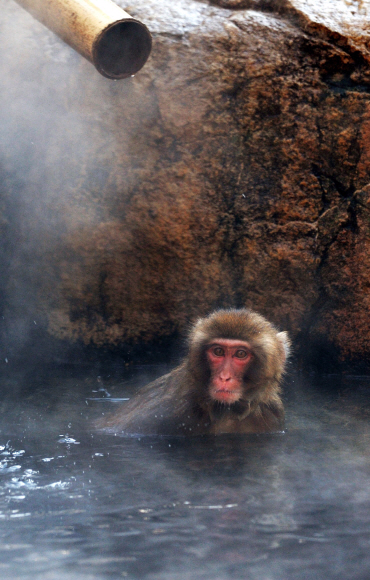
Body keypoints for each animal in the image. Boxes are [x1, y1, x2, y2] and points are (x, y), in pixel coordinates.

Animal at [97, 308, 290, 436]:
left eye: (241, 354)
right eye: (218, 351)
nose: (224, 377)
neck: (226, 411)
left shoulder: (273, 412)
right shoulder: (164, 413)